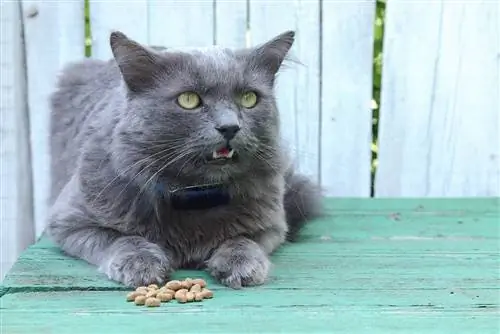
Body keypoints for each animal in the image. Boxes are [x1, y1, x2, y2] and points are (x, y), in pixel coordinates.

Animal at [47, 30, 322, 288]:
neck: (195, 194)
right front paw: (141, 263)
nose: (230, 127)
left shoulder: (270, 224)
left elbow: (242, 239)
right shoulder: (69, 221)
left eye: (249, 98)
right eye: (188, 100)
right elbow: (122, 238)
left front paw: (240, 264)